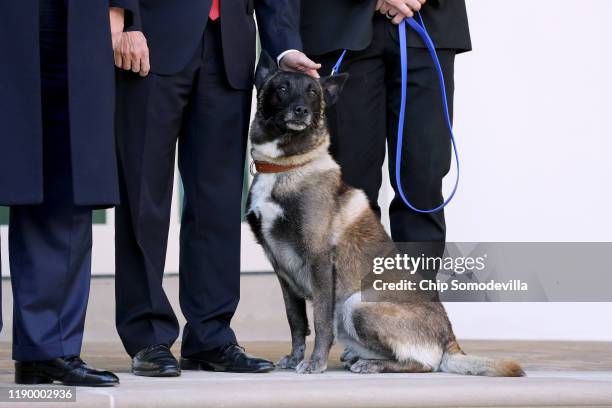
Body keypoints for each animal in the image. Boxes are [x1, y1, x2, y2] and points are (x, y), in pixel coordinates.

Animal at [246, 52, 524, 378]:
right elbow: (295, 320)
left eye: (313, 93)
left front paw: (315, 363)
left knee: (423, 365)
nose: (301, 111)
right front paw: (294, 357)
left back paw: (371, 363)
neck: (287, 166)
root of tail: (449, 340)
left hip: (354, 304)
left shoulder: (320, 261)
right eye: (283, 88)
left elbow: (321, 321)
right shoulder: (281, 271)